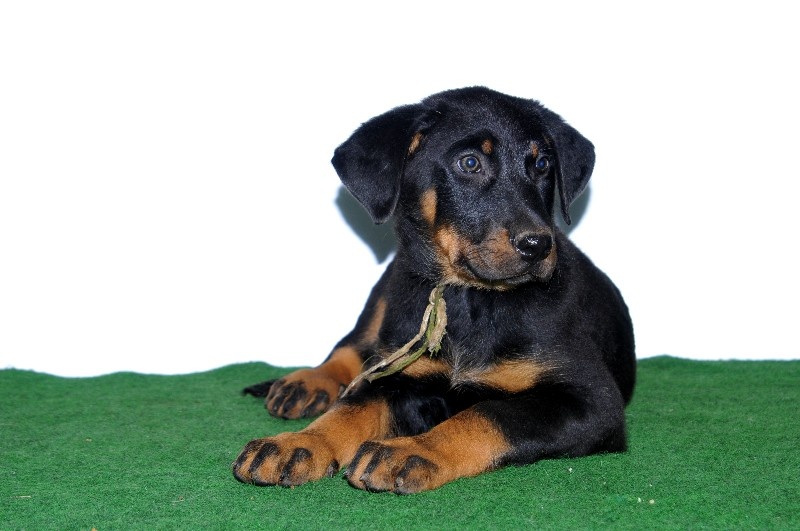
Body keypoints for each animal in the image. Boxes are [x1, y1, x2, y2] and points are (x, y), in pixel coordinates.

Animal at [233, 87, 635, 494]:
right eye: (469, 163)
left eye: (541, 164)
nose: (538, 245)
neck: (469, 299)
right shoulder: (405, 374)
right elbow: (354, 406)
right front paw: (299, 443)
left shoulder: (592, 400)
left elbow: (488, 412)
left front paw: (411, 451)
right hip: (389, 294)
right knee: (355, 349)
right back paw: (307, 383)